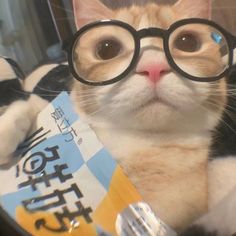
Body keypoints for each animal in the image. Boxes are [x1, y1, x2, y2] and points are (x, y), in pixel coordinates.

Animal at [0, 0, 236, 236]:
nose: (153, 67)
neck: (134, 143)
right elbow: (30, 105)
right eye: (107, 48)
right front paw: (6, 133)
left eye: (188, 43)